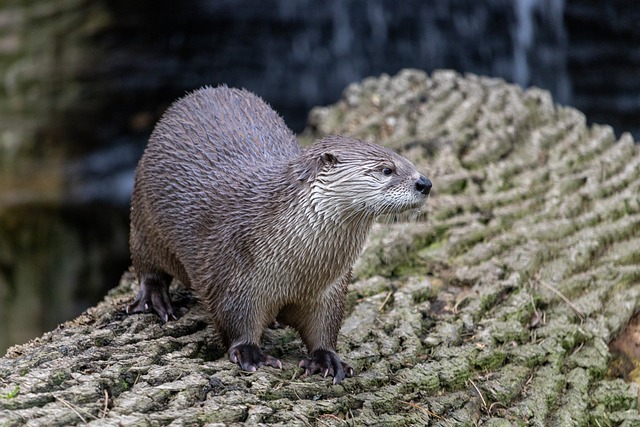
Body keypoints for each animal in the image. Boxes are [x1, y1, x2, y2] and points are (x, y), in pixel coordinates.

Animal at [127, 87, 432, 384]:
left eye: (409, 162)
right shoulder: (231, 274)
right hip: (144, 218)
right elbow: (234, 319)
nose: (425, 182)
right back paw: (157, 301)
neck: (299, 271)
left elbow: (325, 326)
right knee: (146, 265)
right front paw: (250, 353)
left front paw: (327, 358)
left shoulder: (330, 290)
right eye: (387, 169)